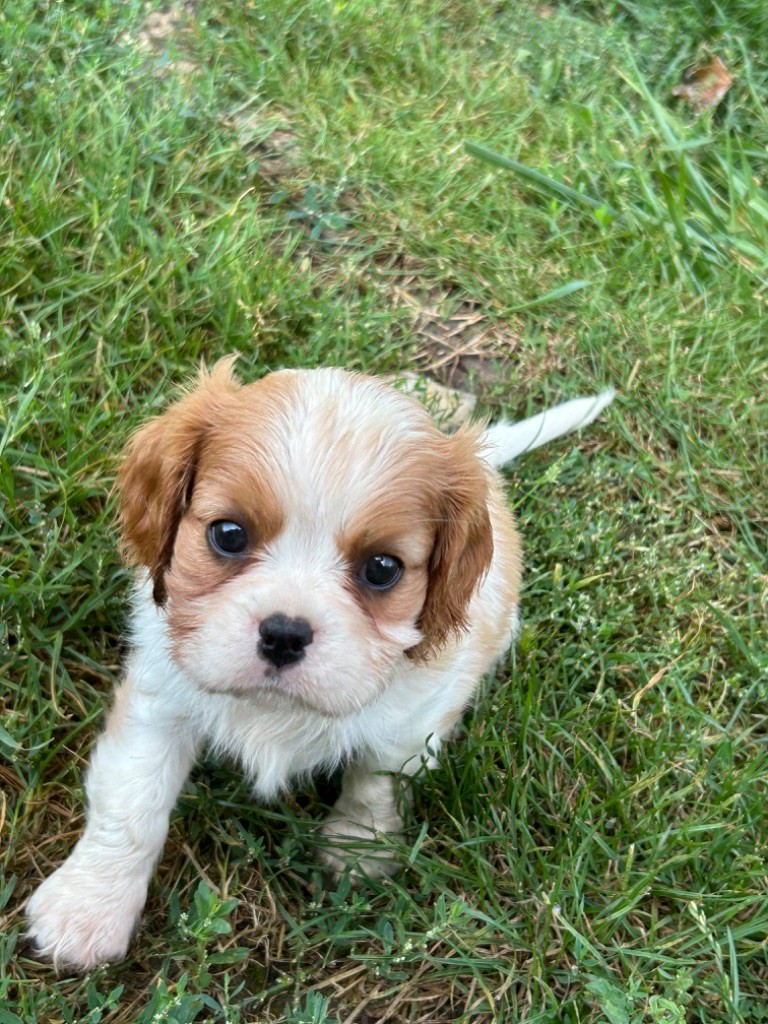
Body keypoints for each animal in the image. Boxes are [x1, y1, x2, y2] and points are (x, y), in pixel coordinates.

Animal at [25, 366, 614, 966]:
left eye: (382, 568)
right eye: (228, 534)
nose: (285, 634)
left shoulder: (412, 723)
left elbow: (375, 782)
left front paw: (357, 848)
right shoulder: (159, 700)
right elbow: (131, 801)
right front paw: (89, 906)